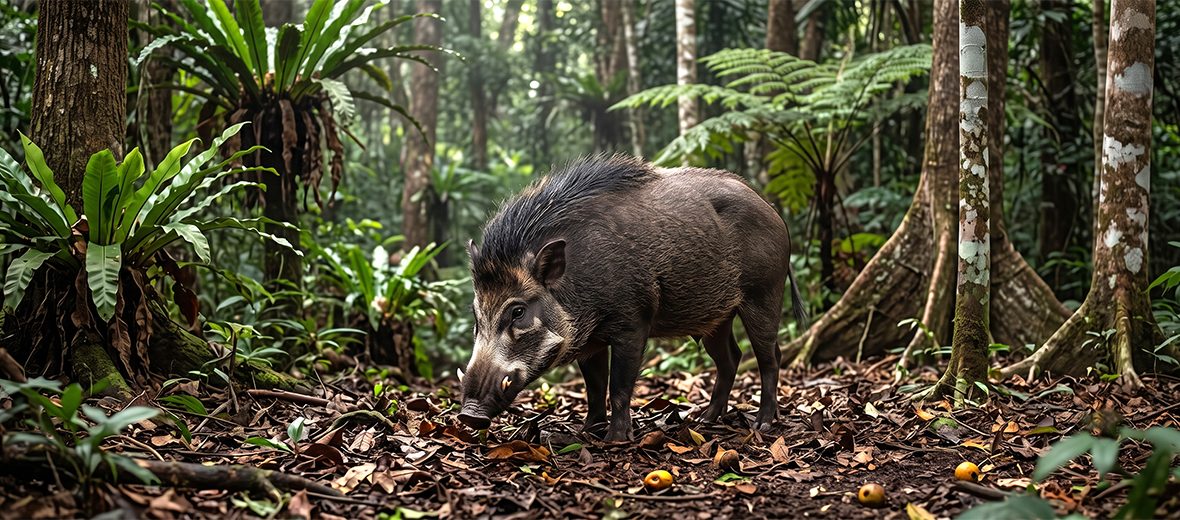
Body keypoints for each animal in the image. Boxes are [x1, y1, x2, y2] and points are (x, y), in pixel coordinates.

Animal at [457, 155, 806, 441]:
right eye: (476, 314)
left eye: (517, 311)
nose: (468, 415)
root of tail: (772, 209)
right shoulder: (590, 341)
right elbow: (594, 386)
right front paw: (589, 431)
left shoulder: (633, 323)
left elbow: (618, 386)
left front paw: (616, 440)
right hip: (717, 318)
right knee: (731, 358)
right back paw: (705, 421)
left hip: (764, 294)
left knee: (769, 357)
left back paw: (762, 424)